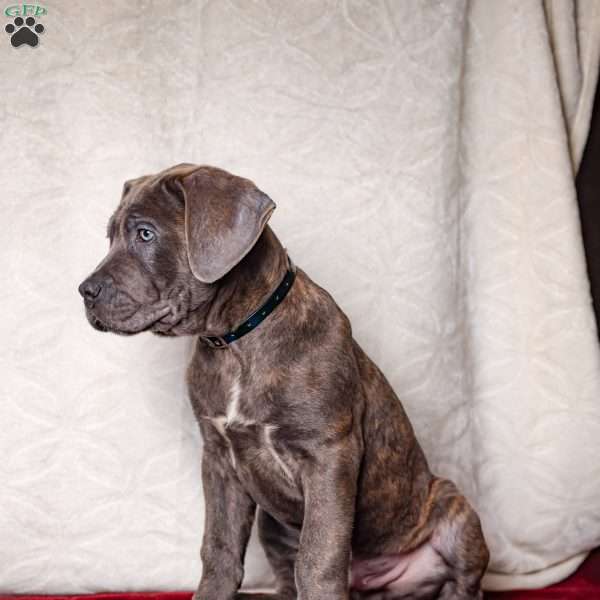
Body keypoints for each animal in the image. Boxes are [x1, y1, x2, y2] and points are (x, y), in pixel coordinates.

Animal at [79, 164, 490, 600]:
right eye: (110, 237)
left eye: (145, 234)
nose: (85, 291)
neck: (236, 341)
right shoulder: (219, 459)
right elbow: (219, 547)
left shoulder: (329, 454)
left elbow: (319, 554)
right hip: (271, 523)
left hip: (457, 512)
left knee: (464, 584)